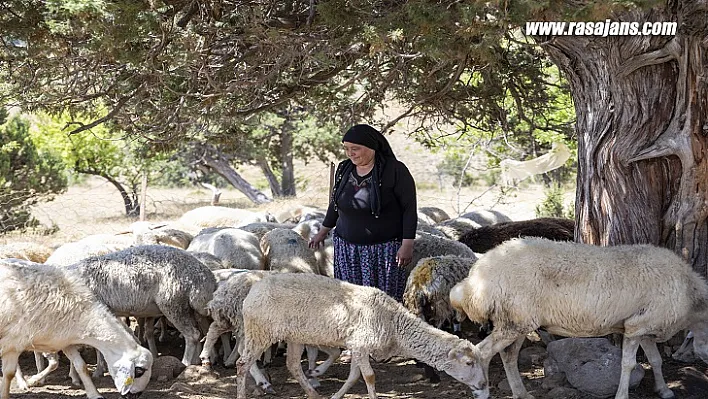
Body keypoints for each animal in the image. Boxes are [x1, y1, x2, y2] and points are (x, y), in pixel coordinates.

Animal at [0, 260, 153, 399]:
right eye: (139, 371)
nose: (135, 396)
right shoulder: (13, 343)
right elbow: (8, 374)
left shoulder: (65, 341)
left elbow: (81, 366)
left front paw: (94, 394)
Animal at [236, 274, 486, 399]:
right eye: (468, 363)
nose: (483, 384)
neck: (394, 324)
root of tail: (253, 290)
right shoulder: (361, 344)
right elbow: (370, 377)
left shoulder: (357, 346)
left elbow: (355, 376)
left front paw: (336, 396)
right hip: (260, 331)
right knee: (242, 363)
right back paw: (244, 393)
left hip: (294, 335)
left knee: (293, 365)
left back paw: (313, 393)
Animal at [450, 238, 708, 399]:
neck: (690, 296)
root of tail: (475, 280)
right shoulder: (637, 327)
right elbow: (629, 364)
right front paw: (622, 394)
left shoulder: (643, 327)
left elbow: (655, 360)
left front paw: (664, 390)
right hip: (514, 322)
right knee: (482, 352)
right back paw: (482, 391)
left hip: (517, 320)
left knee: (508, 356)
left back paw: (521, 393)